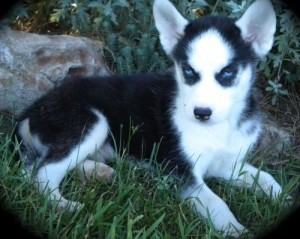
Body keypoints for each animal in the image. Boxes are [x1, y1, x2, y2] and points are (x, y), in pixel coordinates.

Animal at [17, 0, 284, 237]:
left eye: (227, 72)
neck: (220, 127)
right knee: (44, 172)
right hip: (91, 121)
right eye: (188, 71)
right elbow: (215, 201)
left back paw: (97, 172)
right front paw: (235, 228)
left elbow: (269, 179)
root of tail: (32, 109)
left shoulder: (228, 163)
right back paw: (62, 204)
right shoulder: (180, 171)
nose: (201, 113)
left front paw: (282, 199)